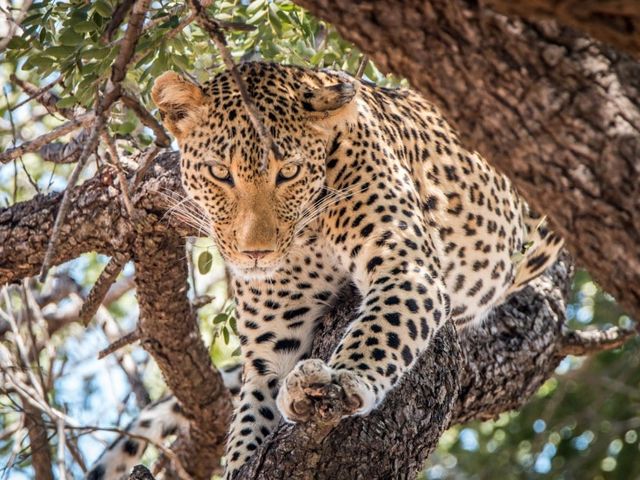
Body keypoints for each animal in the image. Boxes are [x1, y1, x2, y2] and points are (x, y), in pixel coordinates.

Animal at [84, 62, 560, 478]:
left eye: (289, 171)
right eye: (220, 173)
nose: (255, 253)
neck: (308, 235)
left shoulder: (406, 267)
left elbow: (382, 328)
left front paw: (346, 379)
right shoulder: (272, 347)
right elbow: (248, 426)